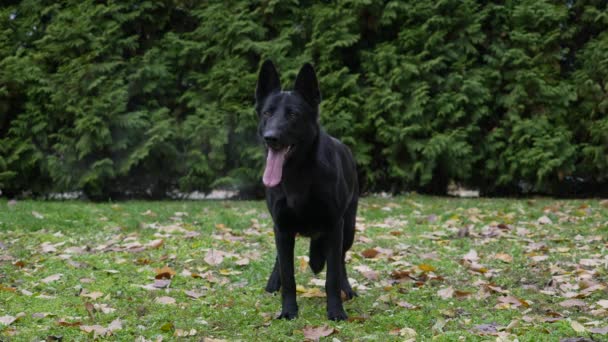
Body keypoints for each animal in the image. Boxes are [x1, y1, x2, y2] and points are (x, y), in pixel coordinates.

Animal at [255, 59, 358, 320]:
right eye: (267, 113)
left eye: (293, 114)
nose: (271, 138)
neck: (298, 175)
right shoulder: (282, 227)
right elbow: (288, 273)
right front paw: (288, 311)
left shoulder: (334, 227)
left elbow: (332, 275)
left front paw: (336, 311)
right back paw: (273, 282)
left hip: (348, 228)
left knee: (341, 260)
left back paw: (347, 289)